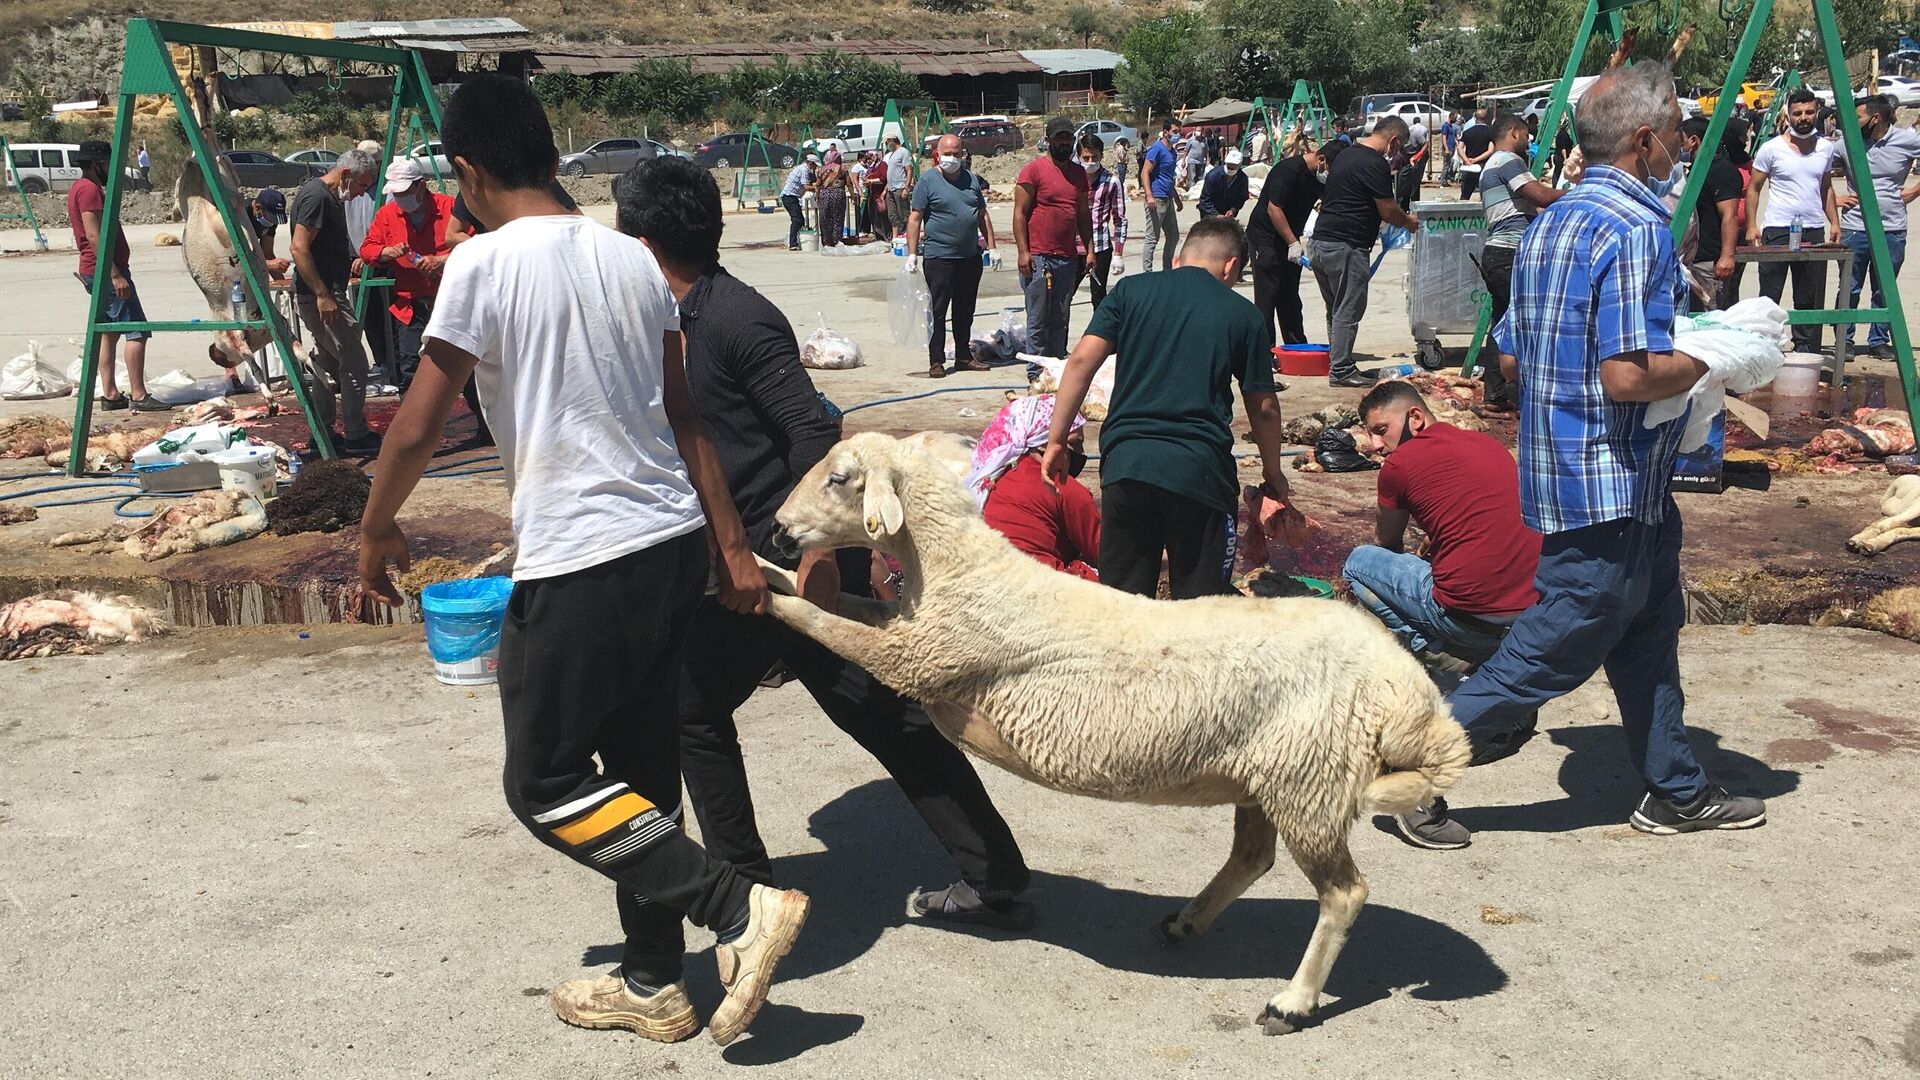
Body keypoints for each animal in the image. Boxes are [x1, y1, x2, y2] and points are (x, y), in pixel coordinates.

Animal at [752, 428, 1466, 1037]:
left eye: (839, 478)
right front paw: (765, 569)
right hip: (1272, 775)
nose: (779, 530)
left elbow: (826, 621)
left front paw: (769, 596)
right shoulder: (909, 631)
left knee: (1344, 893)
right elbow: (839, 604)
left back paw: (1291, 1002)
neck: (962, 574)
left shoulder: (922, 657)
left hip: (1310, 779)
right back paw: (1185, 924)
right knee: (1253, 858)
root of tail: (1411, 693)